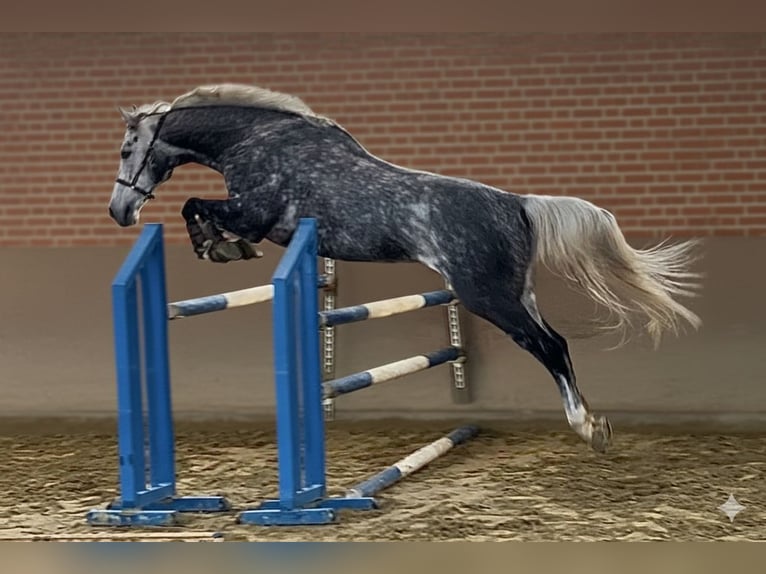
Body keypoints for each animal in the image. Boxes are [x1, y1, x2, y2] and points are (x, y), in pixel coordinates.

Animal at [108, 83, 702, 453]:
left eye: (125, 150)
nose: (119, 212)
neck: (258, 141)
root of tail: (517, 202)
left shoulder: (254, 215)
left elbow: (196, 207)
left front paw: (220, 248)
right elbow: (199, 209)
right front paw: (223, 248)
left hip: (490, 298)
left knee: (549, 346)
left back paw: (588, 428)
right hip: (519, 294)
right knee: (555, 342)